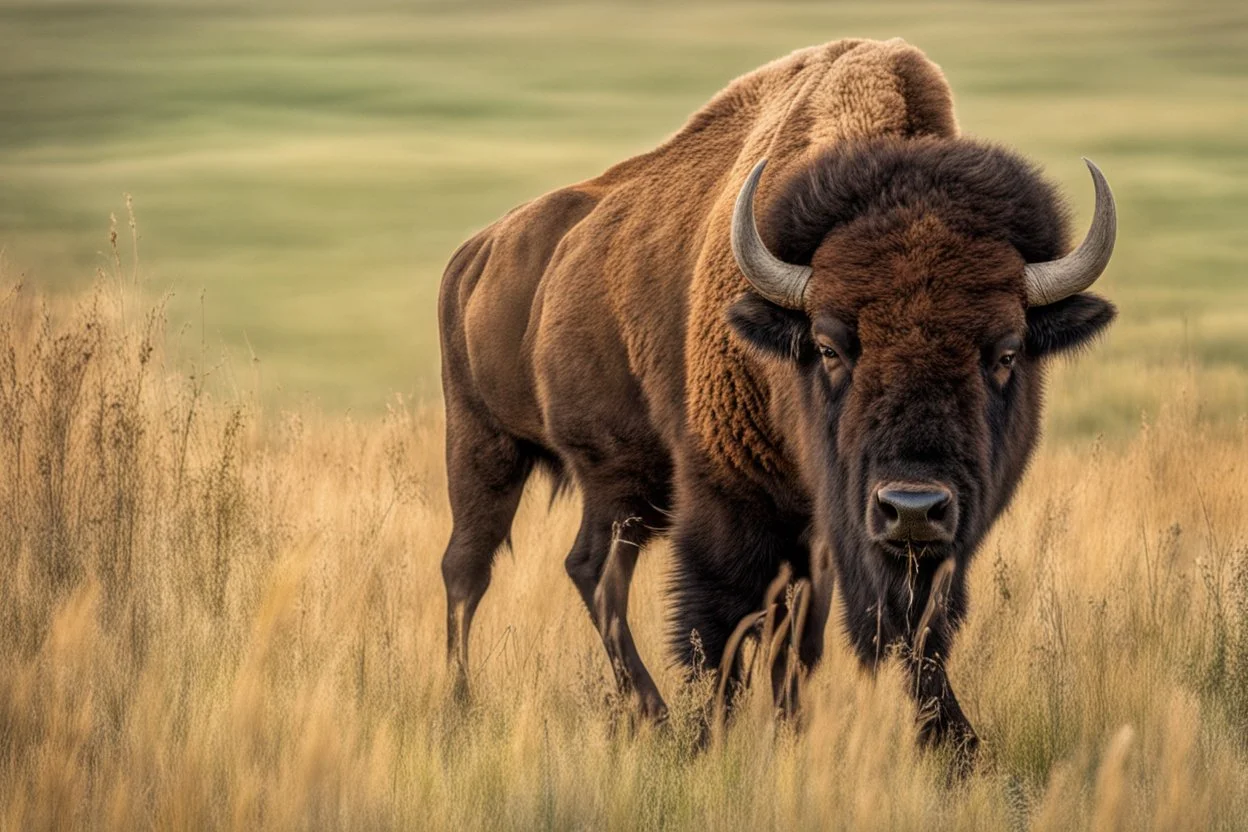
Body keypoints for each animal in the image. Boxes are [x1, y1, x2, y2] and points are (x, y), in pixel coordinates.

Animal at [441, 38, 1123, 748]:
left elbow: (847, 632)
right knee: (476, 570)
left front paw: (932, 740)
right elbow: (722, 624)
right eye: (828, 346)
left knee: (590, 569)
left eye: (1007, 352)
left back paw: (642, 710)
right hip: (490, 449)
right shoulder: (730, 495)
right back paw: (481, 706)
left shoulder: (851, 535)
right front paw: (709, 738)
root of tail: (474, 254)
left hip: (618, 485)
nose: (912, 506)